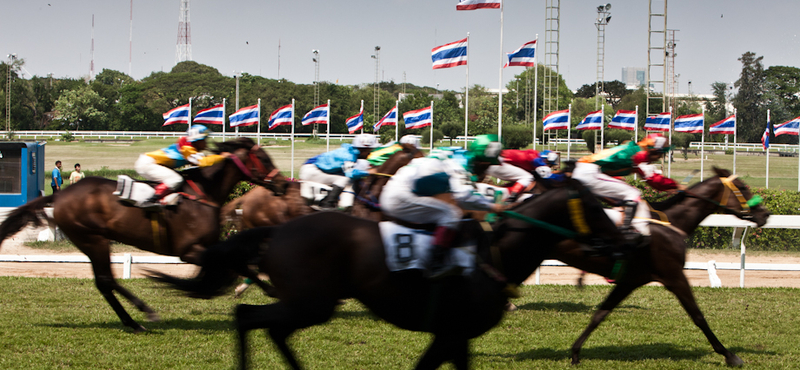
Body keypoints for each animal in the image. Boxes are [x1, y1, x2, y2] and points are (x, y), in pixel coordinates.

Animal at [0, 137, 286, 332]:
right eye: (265, 159)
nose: (283, 184)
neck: (204, 193)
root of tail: (59, 196)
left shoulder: (209, 245)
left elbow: (238, 263)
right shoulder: (188, 250)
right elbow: (235, 264)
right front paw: (272, 291)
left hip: (91, 241)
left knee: (104, 282)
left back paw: (134, 321)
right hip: (93, 238)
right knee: (106, 280)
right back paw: (143, 315)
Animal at [152, 178, 624, 368]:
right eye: (596, 206)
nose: (623, 240)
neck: (495, 256)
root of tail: (279, 229)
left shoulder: (455, 338)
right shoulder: (450, 335)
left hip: (308, 304)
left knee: (264, 326)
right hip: (311, 303)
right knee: (249, 318)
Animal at [552, 168, 768, 368]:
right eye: (742, 187)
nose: (765, 213)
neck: (671, 222)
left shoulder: (630, 281)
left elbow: (600, 314)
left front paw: (575, 352)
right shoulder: (675, 276)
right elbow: (698, 316)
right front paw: (729, 355)